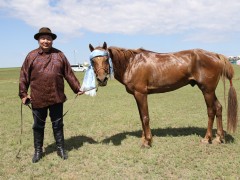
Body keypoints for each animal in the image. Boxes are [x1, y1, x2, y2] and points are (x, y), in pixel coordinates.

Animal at [88, 42, 238, 148]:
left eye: (106, 59)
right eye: (93, 61)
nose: (101, 79)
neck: (131, 63)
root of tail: (216, 55)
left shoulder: (141, 94)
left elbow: (145, 117)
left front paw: (147, 141)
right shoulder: (137, 95)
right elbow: (141, 117)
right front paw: (144, 138)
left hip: (207, 91)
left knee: (211, 111)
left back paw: (207, 139)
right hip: (210, 91)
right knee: (218, 108)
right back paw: (219, 138)